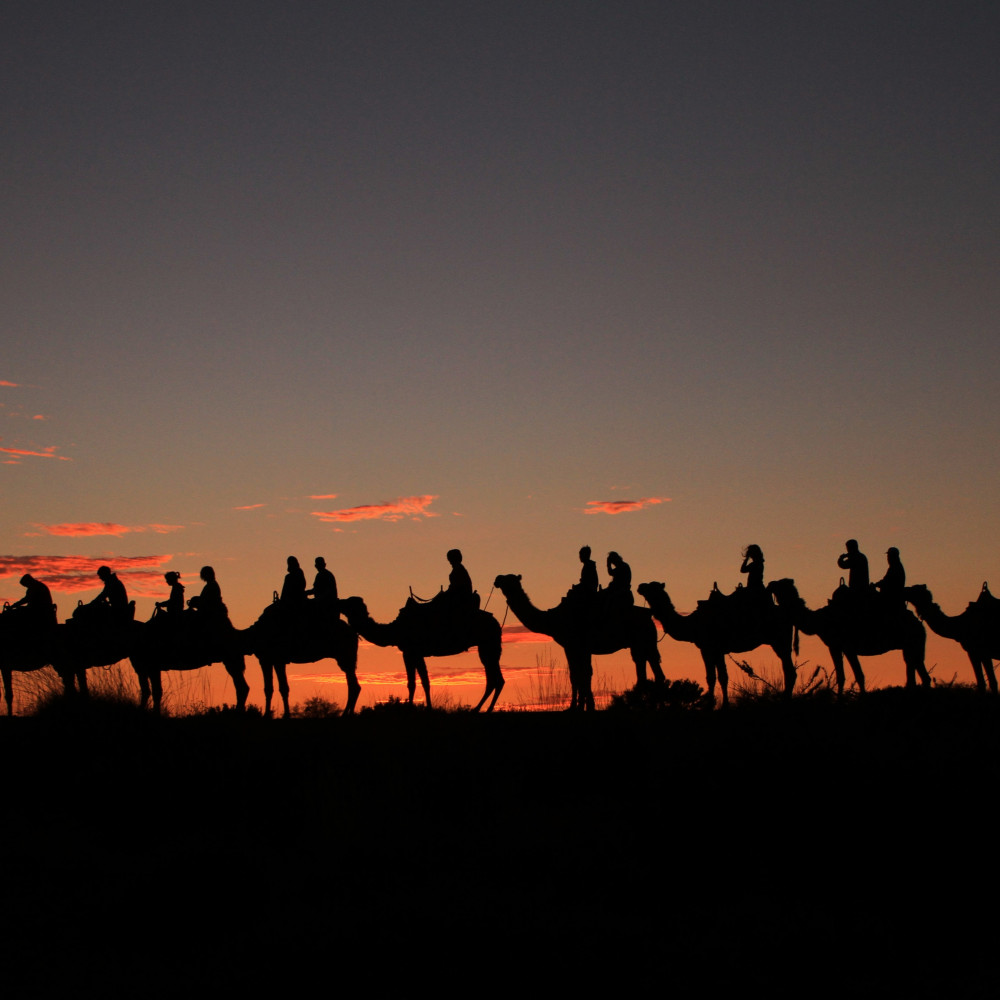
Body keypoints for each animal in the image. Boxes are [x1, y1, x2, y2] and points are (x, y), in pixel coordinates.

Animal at [340, 596, 504, 711]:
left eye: (349, 602)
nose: (338, 600)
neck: (394, 630)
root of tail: (497, 623)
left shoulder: (410, 652)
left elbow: (413, 683)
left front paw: (413, 709)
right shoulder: (415, 653)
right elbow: (423, 681)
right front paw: (426, 708)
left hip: (488, 645)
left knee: (496, 679)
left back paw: (482, 710)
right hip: (487, 646)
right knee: (495, 679)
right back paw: (480, 710)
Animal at [493, 574, 664, 711]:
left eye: (509, 579)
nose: (497, 579)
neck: (552, 619)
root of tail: (650, 616)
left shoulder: (573, 645)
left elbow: (578, 674)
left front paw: (576, 706)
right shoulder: (579, 647)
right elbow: (582, 674)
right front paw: (585, 705)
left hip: (645, 640)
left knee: (653, 669)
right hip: (640, 644)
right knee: (644, 668)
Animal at [636, 581, 796, 707]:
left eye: (652, 587)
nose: (640, 586)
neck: (692, 624)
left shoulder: (708, 648)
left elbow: (713, 677)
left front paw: (713, 706)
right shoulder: (717, 650)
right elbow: (721, 677)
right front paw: (722, 705)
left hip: (780, 640)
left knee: (789, 670)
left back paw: (786, 700)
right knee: (789, 669)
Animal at [767, 579, 929, 694]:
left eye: (780, 585)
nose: (770, 584)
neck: (821, 620)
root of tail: (919, 624)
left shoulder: (847, 646)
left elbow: (858, 675)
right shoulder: (835, 646)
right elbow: (842, 676)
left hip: (913, 642)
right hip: (911, 646)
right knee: (920, 674)